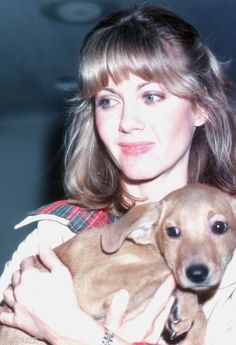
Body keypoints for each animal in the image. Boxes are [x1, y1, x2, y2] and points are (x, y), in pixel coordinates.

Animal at [0, 181, 236, 342]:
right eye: (172, 231)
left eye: (220, 227)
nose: (197, 273)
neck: (147, 247)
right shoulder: (91, 284)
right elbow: (167, 269)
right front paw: (188, 306)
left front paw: (188, 316)